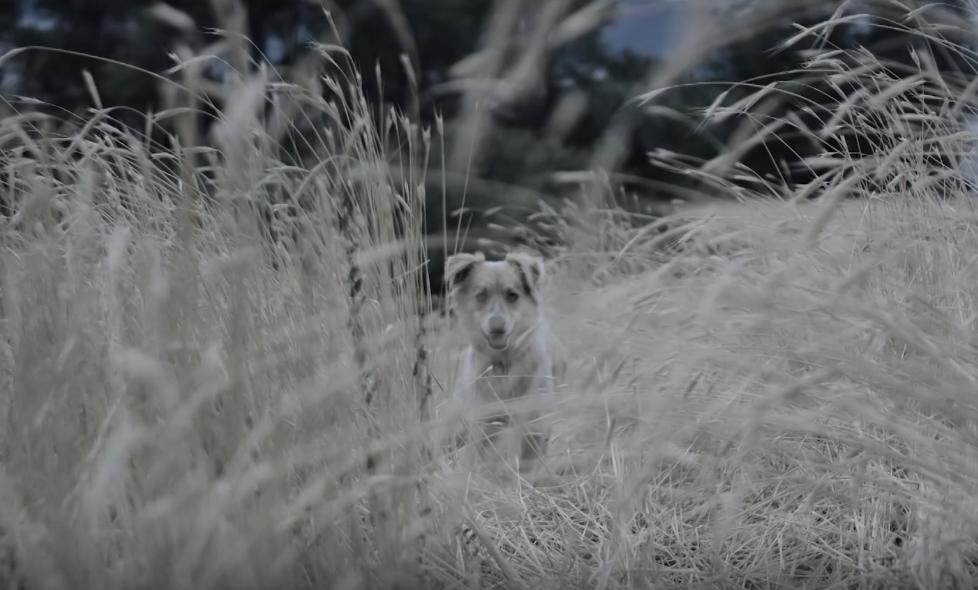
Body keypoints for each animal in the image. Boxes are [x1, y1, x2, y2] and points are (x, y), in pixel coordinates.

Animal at [444, 250, 560, 476]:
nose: (497, 326)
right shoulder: (486, 424)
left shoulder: (535, 424)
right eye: (481, 296)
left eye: (512, 295)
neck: (504, 362)